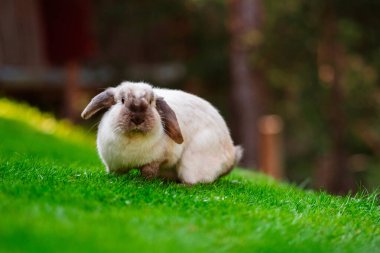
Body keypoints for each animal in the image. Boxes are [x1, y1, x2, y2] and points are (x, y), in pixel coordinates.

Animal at [82, 81, 243, 184]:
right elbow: (116, 173)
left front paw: (144, 181)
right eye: (122, 100)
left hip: (192, 163)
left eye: (151, 102)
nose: (138, 118)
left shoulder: (158, 159)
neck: (132, 140)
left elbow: (149, 171)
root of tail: (231, 155)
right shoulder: (114, 164)